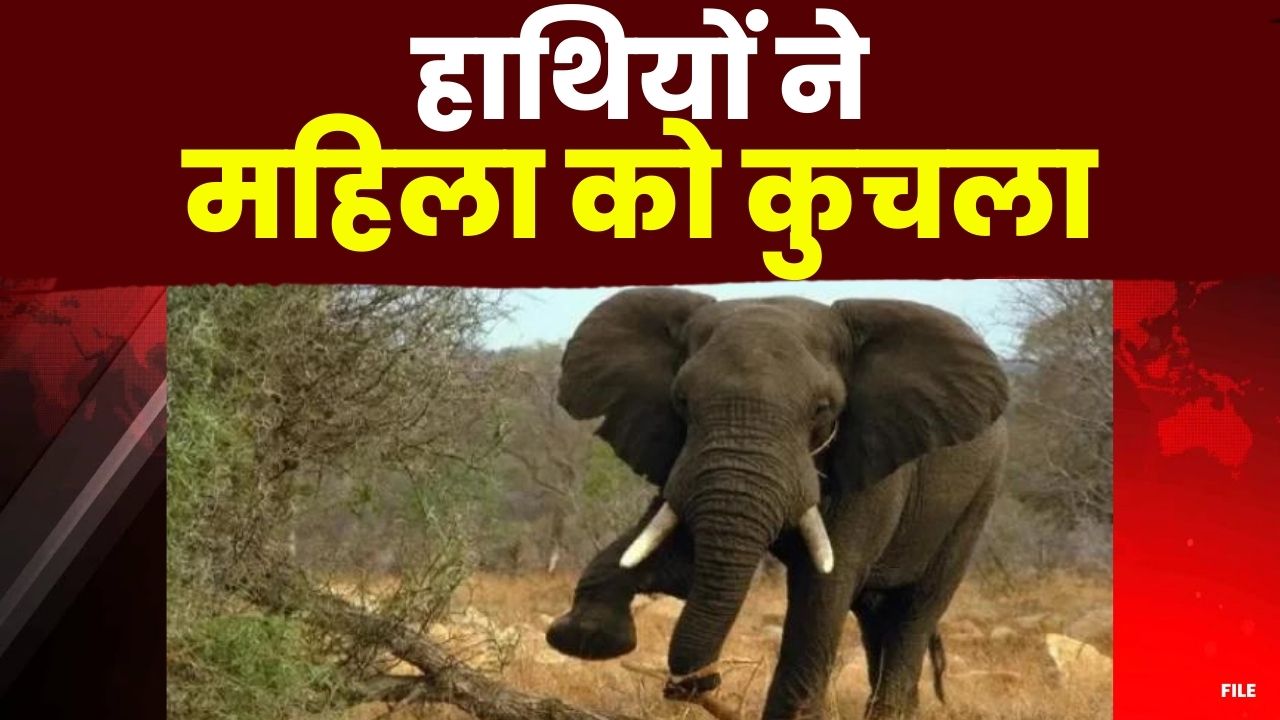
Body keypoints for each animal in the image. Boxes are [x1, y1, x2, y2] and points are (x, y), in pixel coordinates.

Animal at [543, 288, 1009, 720]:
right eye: (681, 402)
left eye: (822, 408)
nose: (696, 683)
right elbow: (670, 552)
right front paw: (585, 635)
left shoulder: (872, 468)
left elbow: (822, 594)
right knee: (876, 619)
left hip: (977, 500)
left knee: (911, 616)